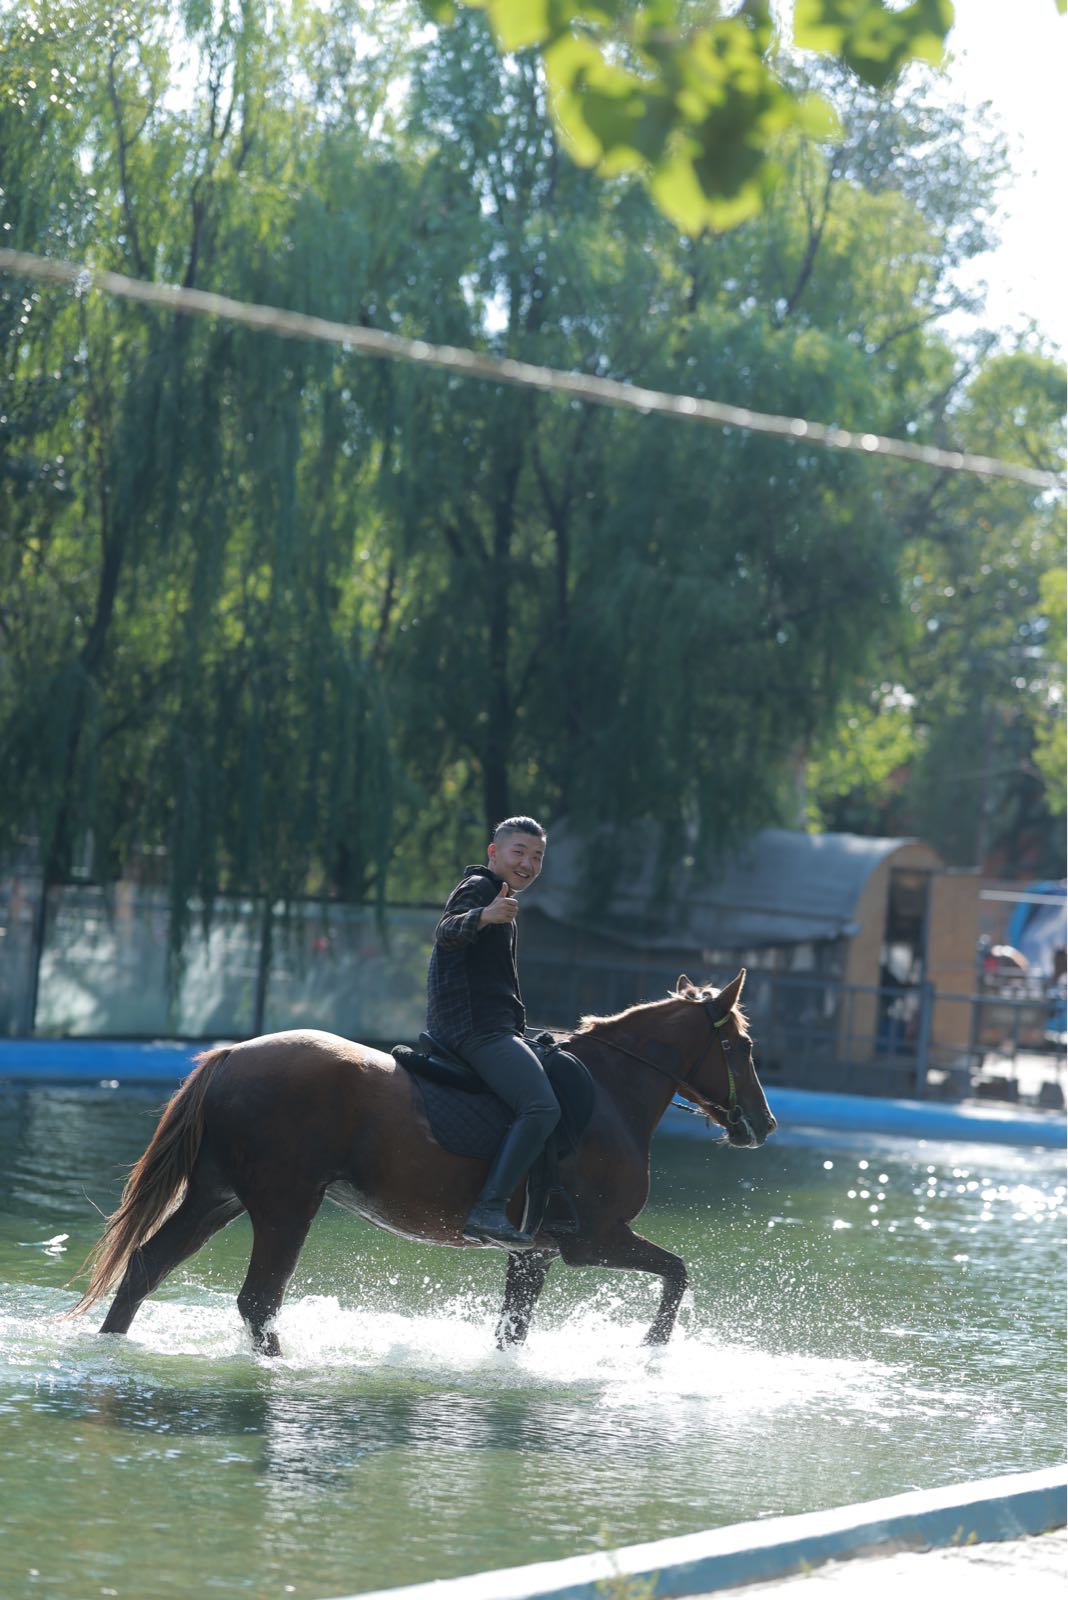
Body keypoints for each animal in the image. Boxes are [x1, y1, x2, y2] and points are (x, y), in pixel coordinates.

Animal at [70, 966, 770, 1356]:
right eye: (740, 1045)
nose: (762, 1124)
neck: (609, 1092)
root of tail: (232, 1056)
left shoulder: (535, 1253)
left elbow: (513, 1332)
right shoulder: (594, 1240)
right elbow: (677, 1272)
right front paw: (651, 1348)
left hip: (218, 1198)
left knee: (146, 1268)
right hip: (285, 1207)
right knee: (258, 1302)